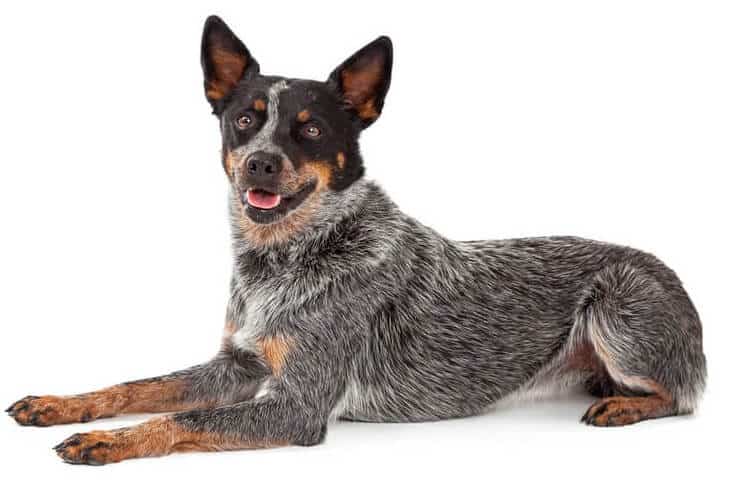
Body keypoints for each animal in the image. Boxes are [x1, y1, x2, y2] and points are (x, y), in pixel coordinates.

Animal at [4, 16, 704, 466]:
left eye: (310, 131)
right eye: (244, 121)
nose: (260, 163)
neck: (284, 258)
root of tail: (669, 273)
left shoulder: (296, 406)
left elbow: (175, 417)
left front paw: (111, 441)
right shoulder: (238, 364)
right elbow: (137, 386)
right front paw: (61, 403)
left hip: (617, 306)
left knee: (682, 397)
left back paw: (623, 407)